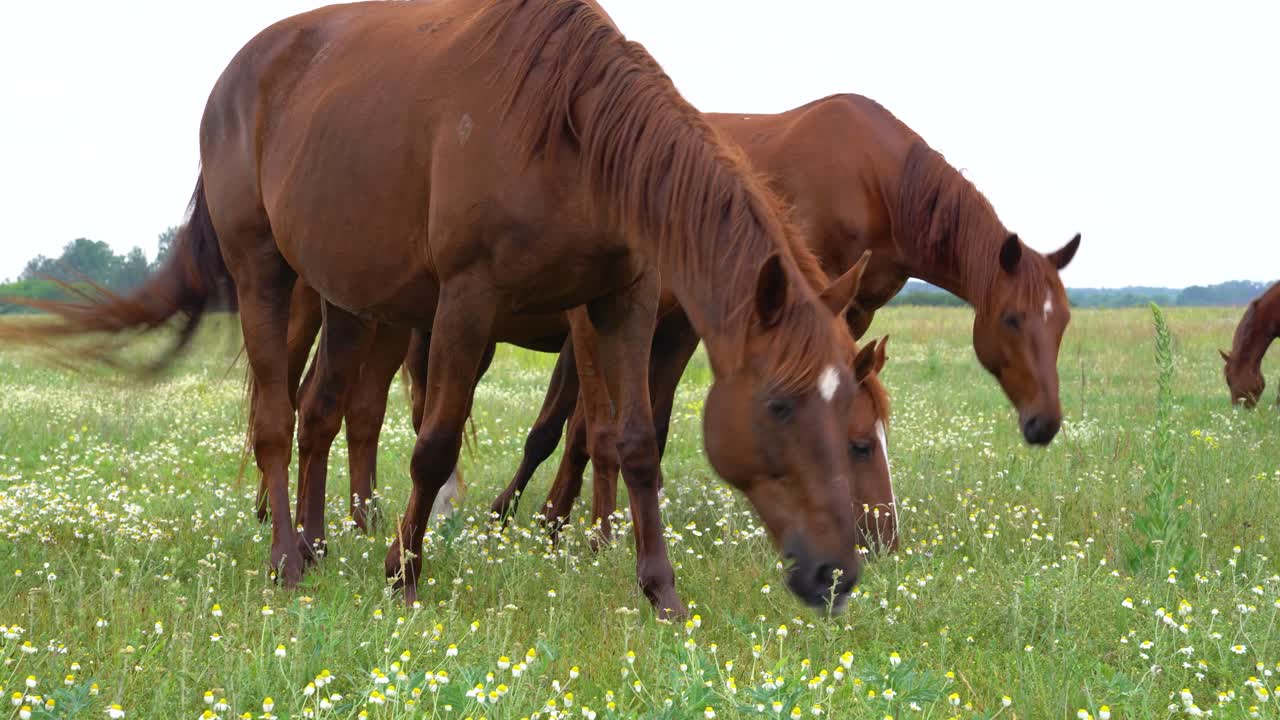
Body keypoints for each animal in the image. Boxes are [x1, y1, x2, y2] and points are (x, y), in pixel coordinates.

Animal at [1, 0, 870, 616]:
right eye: (781, 406)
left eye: (851, 417)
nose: (836, 574)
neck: (573, 136)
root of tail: (238, 76)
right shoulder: (467, 302)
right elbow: (435, 444)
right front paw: (404, 576)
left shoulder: (620, 303)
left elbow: (636, 445)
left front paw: (662, 593)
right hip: (264, 273)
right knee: (276, 420)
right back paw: (287, 562)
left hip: (350, 298)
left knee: (320, 411)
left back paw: (318, 543)